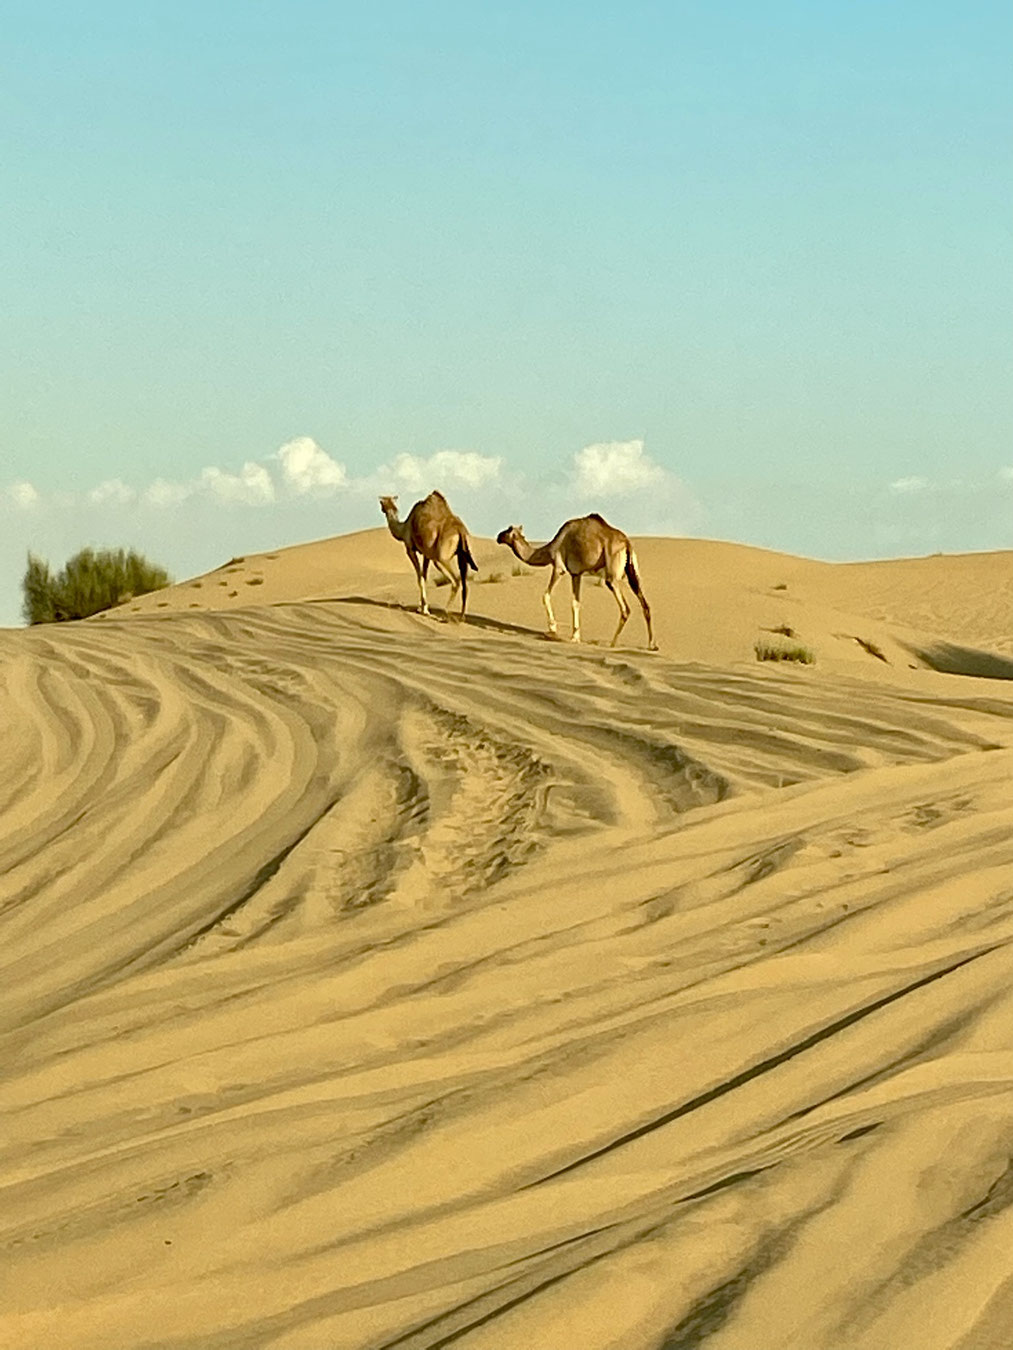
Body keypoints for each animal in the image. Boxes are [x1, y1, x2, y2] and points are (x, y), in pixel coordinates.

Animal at [379, 490, 478, 619]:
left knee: (456, 581)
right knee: (465, 584)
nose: (383, 507)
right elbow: (424, 577)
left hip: (441, 558)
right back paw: (461, 617)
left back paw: (446, 613)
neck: (404, 527)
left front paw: (424, 610)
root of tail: (460, 530)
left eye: (383, 502)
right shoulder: (427, 554)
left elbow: (420, 578)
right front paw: (422, 608)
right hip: (462, 555)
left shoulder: (410, 549)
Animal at [496, 513, 656, 649]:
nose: (498, 536)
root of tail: (627, 543)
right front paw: (575, 637)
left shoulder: (559, 567)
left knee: (625, 609)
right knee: (645, 604)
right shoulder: (576, 573)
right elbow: (576, 603)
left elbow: (546, 595)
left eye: (508, 529)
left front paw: (553, 628)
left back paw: (612, 643)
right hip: (632, 571)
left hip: (612, 572)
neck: (550, 549)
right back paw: (652, 645)